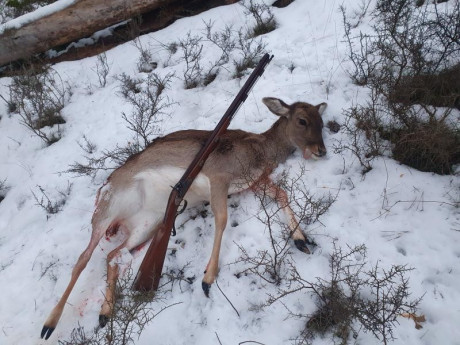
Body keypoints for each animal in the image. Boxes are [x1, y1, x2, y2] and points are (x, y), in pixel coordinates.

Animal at [39, 96, 328, 338]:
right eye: (302, 120)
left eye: (321, 121)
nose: (321, 151)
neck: (259, 151)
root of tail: (106, 187)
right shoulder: (219, 177)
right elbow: (221, 219)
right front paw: (207, 279)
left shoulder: (254, 183)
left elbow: (283, 194)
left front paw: (301, 240)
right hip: (106, 210)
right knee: (83, 258)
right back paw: (49, 325)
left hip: (146, 225)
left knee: (112, 256)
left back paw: (104, 313)